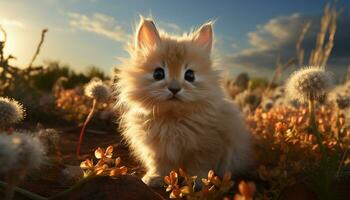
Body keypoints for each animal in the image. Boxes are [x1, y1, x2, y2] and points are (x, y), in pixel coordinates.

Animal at [117, 16, 252, 186]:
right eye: (158, 74)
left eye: (190, 75)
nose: (174, 89)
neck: (173, 118)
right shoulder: (158, 151)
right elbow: (160, 167)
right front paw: (153, 179)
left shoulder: (206, 149)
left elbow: (199, 168)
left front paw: (198, 184)